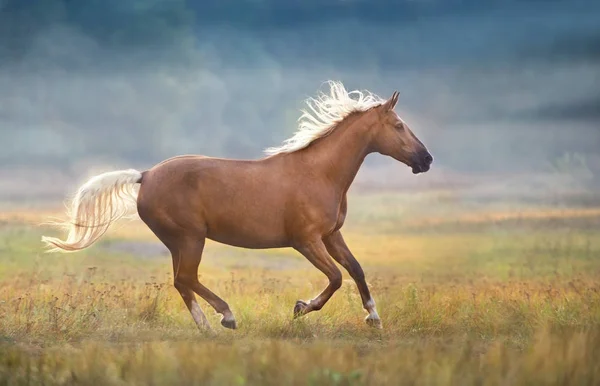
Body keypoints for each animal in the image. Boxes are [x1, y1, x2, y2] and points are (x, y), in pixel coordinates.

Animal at [42, 80, 434, 332]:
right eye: (398, 126)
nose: (426, 160)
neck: (319, 173)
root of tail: (145, 175)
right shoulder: (305, 240)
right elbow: (336, 277)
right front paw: (301, 308)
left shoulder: (331, 235)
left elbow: (356, 270)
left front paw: (374, 318)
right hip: (190, 238)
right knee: (187, 278)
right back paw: (226, 317)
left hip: (177, 242)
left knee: (181, 282)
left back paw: (205, 326)